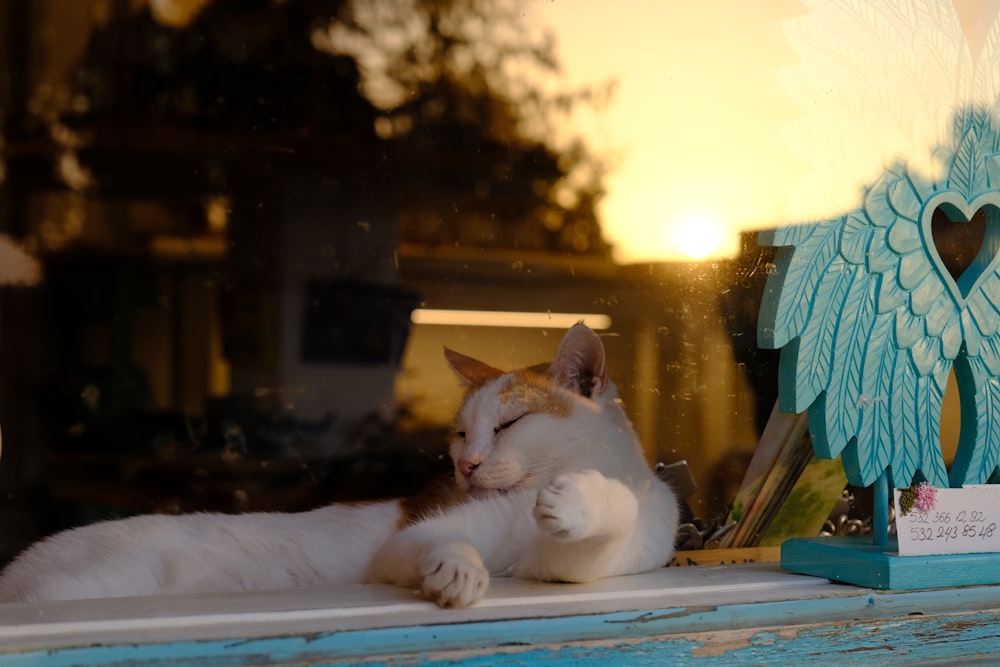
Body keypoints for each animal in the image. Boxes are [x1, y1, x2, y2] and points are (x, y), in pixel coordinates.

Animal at [0, 324, 680, 612]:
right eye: (462, 432)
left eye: (508, 425)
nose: (465, 464)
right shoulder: (413, 538)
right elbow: (446, 543)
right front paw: (456, 573)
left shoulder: (574, 564)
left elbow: (602, 521)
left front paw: (578, 500)